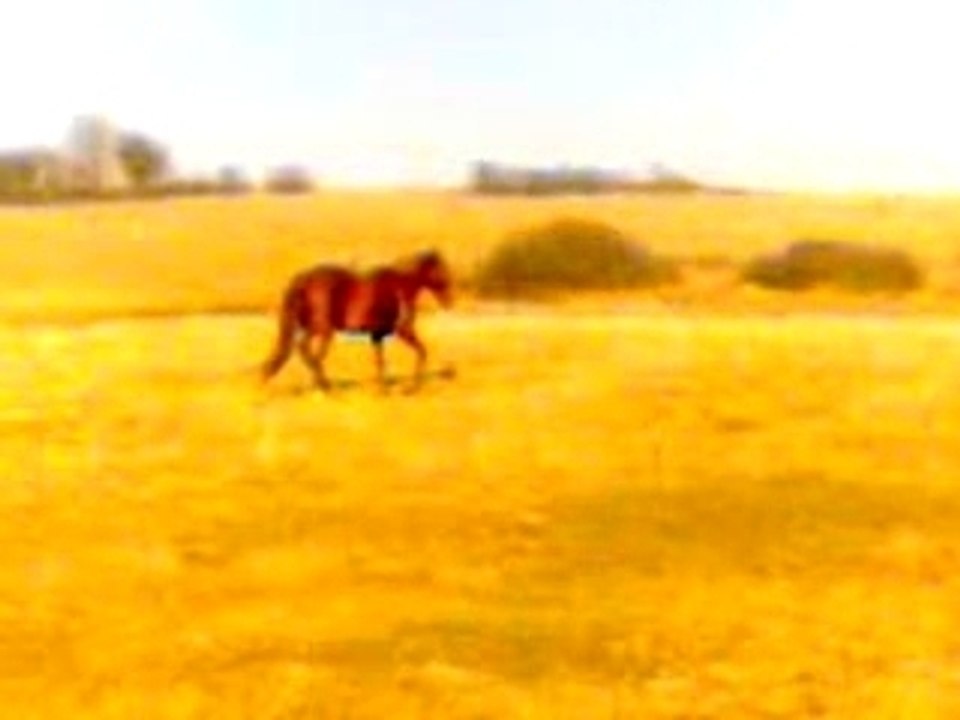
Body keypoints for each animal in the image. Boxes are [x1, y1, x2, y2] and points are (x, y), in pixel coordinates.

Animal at [260, 249, 453, 392]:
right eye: (443, 270)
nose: (450, 300)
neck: (403, 285)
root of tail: (304, 279)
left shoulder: (377, 335)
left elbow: (379, 361)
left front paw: (382, 390)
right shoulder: (404, 331)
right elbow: (422, 352)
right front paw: (411, 388)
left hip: (314, 329)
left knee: (305, 352)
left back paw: (322, 385)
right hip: (322, 330)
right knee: (309, 353)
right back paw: (326, 387)